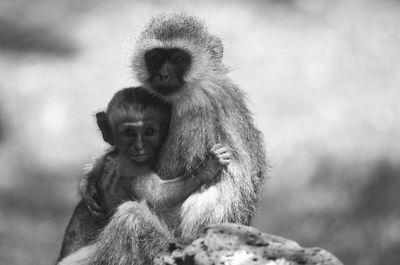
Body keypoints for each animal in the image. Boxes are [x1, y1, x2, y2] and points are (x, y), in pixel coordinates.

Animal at [56, 86, 231, 262]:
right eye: (129, 133)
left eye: (149, 131)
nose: (139, 147)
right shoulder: (133, 167)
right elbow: (158, 196)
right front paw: (208, 168)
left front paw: (89, 181)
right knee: (131, 215)